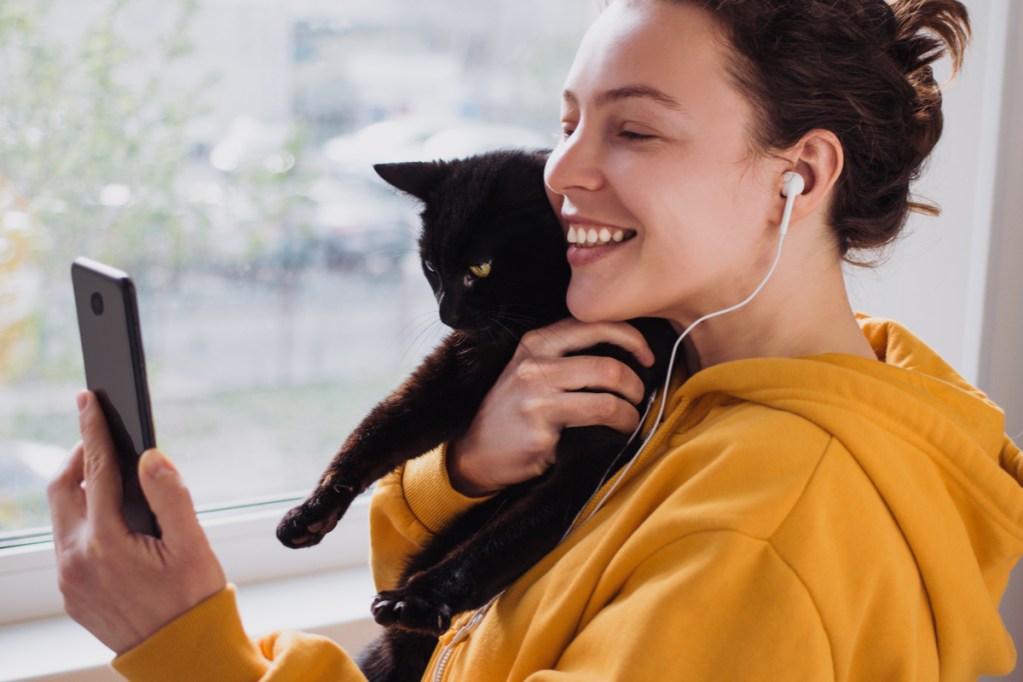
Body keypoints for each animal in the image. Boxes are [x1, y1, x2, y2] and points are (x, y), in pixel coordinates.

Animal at [280, 149, 679, 682]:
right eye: (431, 266)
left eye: (481, 268)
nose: (447, 314)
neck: (529, 327)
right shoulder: (447, 378)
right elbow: (377, 431)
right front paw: (311, 511)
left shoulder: (593, 454)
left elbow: (498, 541)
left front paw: (418, 601)